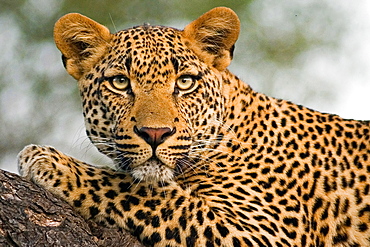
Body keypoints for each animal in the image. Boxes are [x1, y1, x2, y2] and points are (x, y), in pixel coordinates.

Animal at [16, 6, 370, 246]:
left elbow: (149, 194)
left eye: (185, 82)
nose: (155, 134)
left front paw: (52, 162)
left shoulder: (263, 232)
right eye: (120, 82)